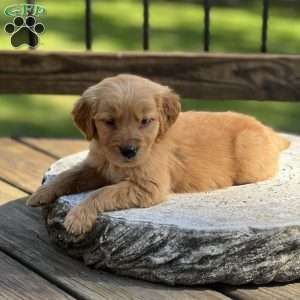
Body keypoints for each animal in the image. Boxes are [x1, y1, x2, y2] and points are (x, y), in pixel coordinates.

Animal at [27, 74, 290, 236]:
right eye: (109, 122)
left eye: (145, 121)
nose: (129, 151)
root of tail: (270, 132)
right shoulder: (96, 167)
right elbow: (69, 175)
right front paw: (42, 192)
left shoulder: (148, 185)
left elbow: (103, 192)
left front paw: (78, 216)